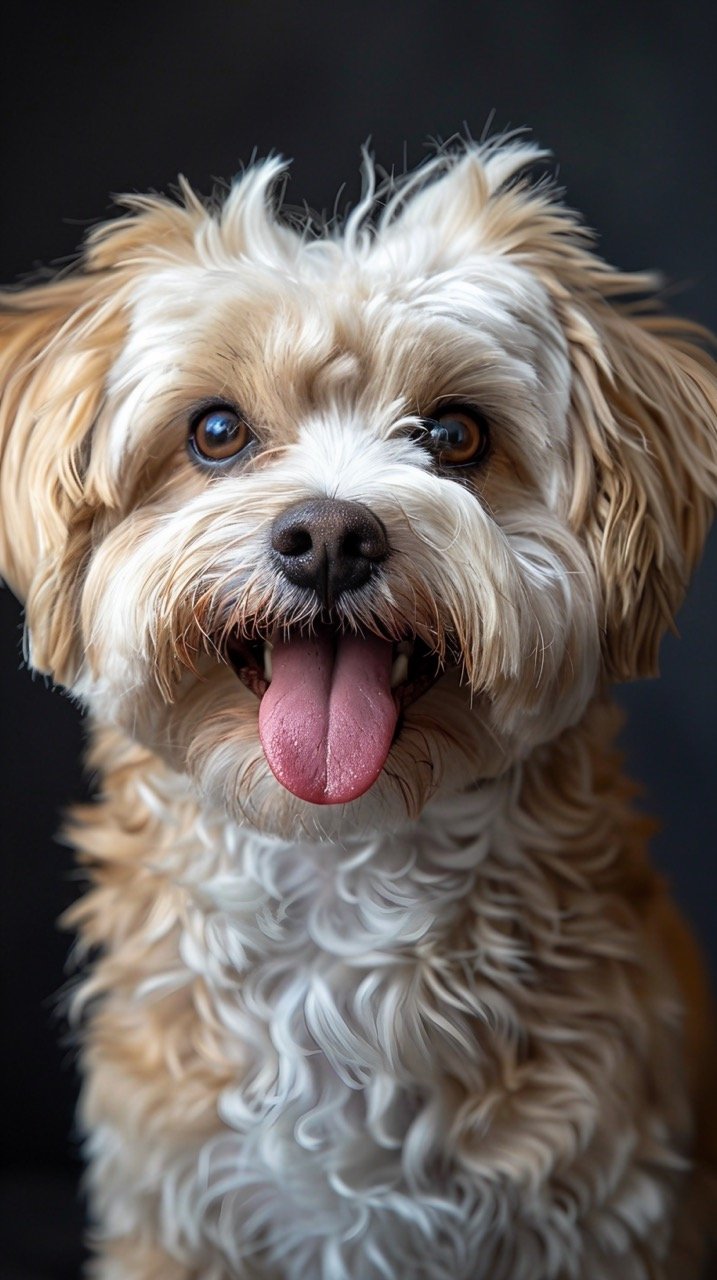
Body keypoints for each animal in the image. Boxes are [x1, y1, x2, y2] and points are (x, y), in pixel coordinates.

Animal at [1, 140, 717, 1280]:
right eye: (216, 431)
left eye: (456, 433)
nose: (330, 537)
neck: (339, 868)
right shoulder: (175, 1206)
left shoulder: (601, 1210)